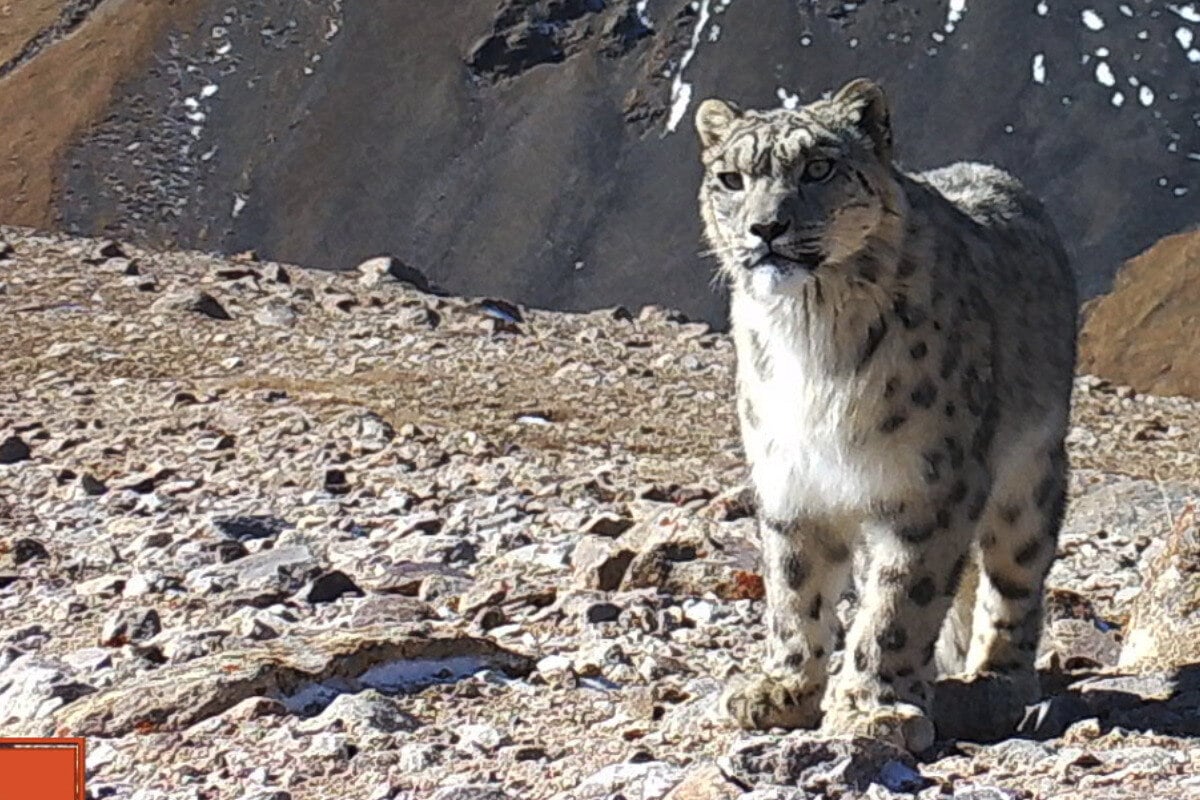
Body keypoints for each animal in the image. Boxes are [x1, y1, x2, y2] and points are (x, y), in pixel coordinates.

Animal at [696, 76, 1080, 753]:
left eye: (818, 167)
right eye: (731, 178)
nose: (765, 227)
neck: (809, 337)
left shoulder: (927, 488)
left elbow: (899, 607)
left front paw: (873, 709)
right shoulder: (791, 483)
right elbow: (794, 591)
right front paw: (783, 689)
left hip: (1028, 479)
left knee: (1014, 582)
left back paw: (991, 683)